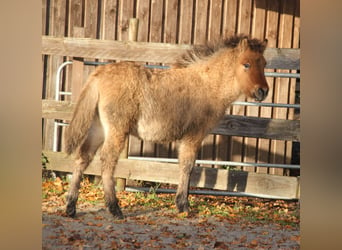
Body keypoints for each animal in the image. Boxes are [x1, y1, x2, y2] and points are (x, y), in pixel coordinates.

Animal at [63, 34, 268, 219]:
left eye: (264, 64)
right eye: (246, 64)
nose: (263, 91)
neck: (207, 84)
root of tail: (99, 74)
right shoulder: (194, 134)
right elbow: (187, 166)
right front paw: (183, 205)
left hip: (98, 128)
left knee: (83, 157)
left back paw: (71, 207)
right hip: (116, 130)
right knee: (107, 160)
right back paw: (114, 209)